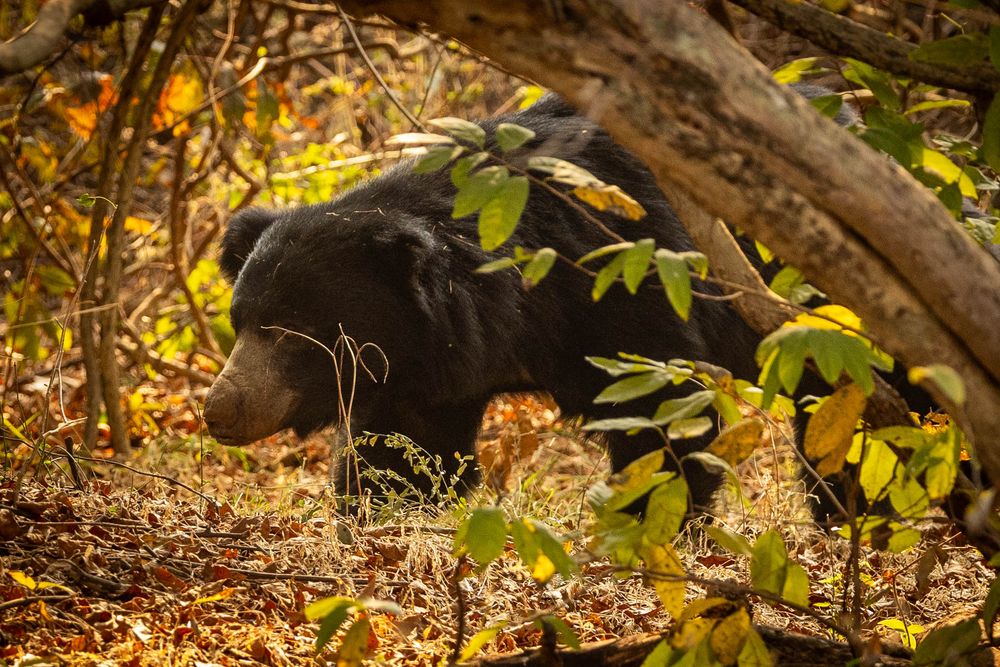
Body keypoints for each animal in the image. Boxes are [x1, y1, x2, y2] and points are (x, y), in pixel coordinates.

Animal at [203, 93, 927, 516]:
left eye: (293, 330)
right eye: (242, 323)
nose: (220, 410)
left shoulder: (627, 279)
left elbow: (658, 412)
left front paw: (651, 529)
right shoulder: (424, 368)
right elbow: (403, 453)